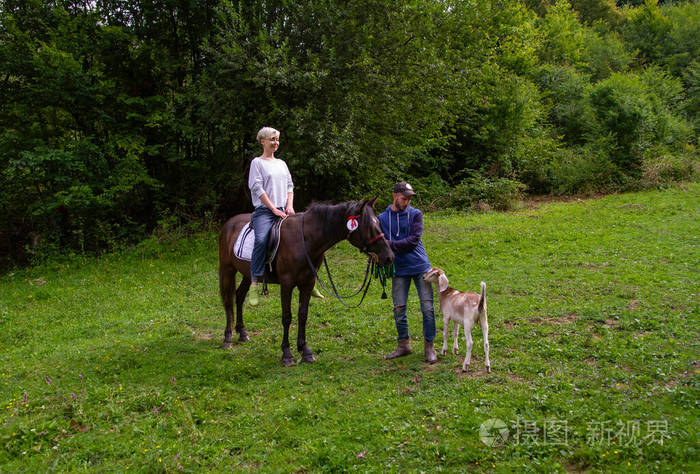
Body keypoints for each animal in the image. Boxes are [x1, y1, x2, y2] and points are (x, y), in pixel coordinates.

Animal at [219, 198, 394, 364]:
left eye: (379, 223)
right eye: (369, 226)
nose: (389, 257)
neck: (304, 240)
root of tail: (229, 223)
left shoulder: (308, 283)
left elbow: (303, 314)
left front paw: (304, 350)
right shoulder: (287, 284)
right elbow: (287, 317)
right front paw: (287, 353)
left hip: (248, 274)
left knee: (239, 296)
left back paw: (242, 333)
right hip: (227, 269)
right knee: (228, 301)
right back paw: (227, 337)